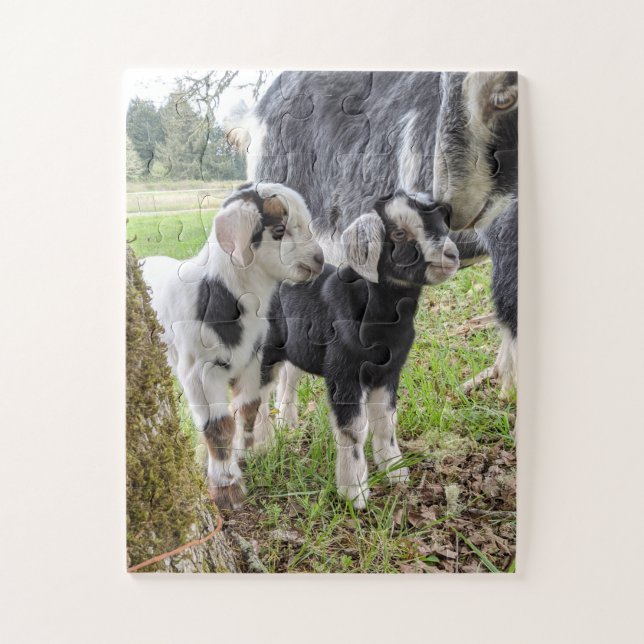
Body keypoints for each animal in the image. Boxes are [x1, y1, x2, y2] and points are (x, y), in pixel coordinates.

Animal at [141, 183, 323, 509]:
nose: (319, 259)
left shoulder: (252, 360)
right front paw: (227, 489)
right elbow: (218, 426)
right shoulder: (201, 371)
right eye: (279, 230)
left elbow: (248, 409)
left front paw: (247, 456)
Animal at [257, 192, 459, 508]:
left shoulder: (388, 372)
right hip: (265, 349)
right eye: (398, 233)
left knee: (289, 378)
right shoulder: (345, 374)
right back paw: (261, 443)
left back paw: (287, 425)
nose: (451, 256)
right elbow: (354, 430)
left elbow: (386, 422)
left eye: (442, 223)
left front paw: (395, 471)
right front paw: (354, 491)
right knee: (255, 394)